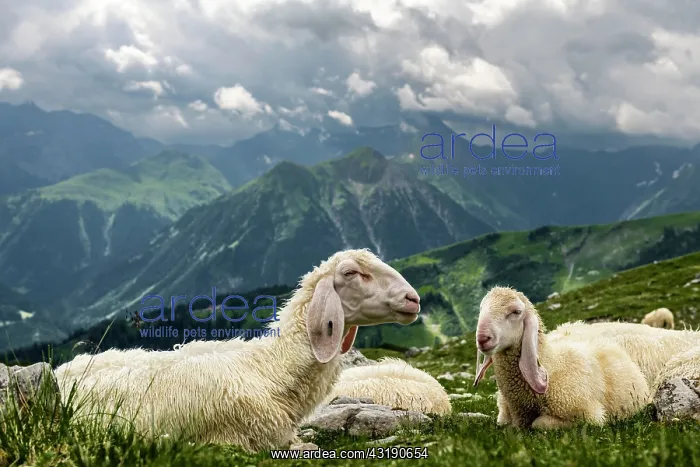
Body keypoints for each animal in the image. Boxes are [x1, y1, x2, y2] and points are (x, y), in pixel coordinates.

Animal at [473, 286, 650, 429]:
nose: (482, 338)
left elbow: (539, 424)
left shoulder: (589, 415)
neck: (551, 364)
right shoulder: (509, 415)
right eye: (481, 309)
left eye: (516, 312)